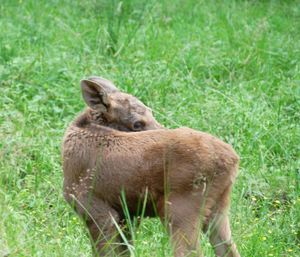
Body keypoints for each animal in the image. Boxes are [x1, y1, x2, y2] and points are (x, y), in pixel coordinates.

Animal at [62, 76, 240, 256]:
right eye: (137, 124)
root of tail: (232, 159)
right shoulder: (126, 215)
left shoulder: (94, 208)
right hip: (219, 208)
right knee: (228, 249)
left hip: (180, 208)